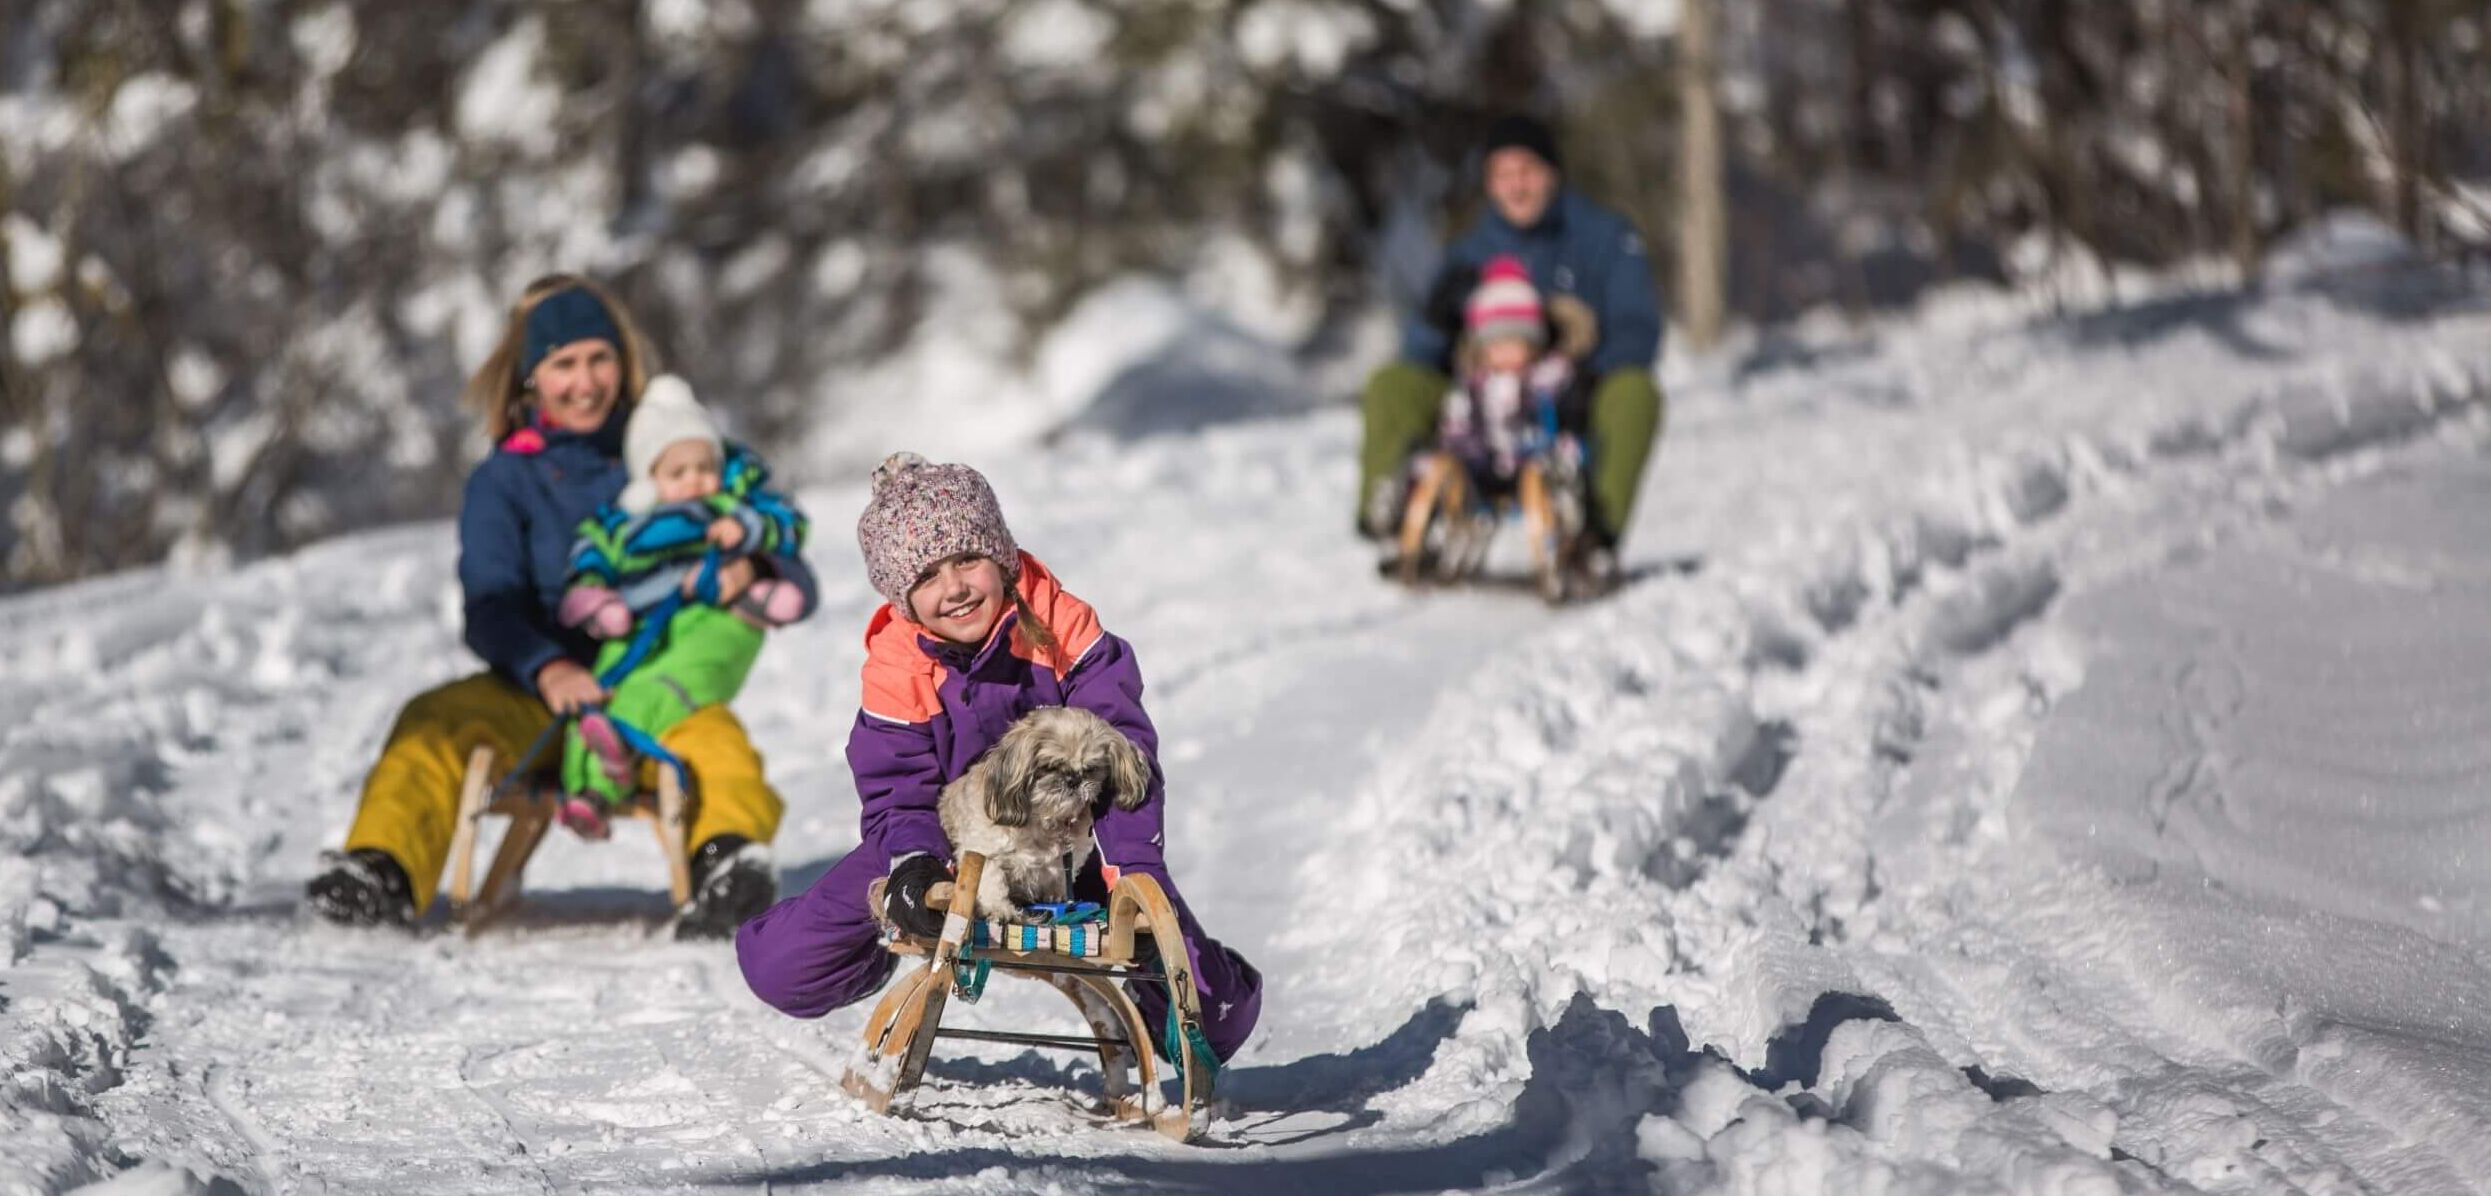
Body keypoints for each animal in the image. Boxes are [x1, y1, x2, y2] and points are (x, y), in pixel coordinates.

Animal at [936, 707, 1150, 921]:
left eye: (1091, 769)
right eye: (1049, 766)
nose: (1073, 779)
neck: (1044, 820)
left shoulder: (1071, 856)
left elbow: (1061, 876)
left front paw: (1058, 897)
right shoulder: (982, 851)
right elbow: (991, 882)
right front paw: (999, 909)